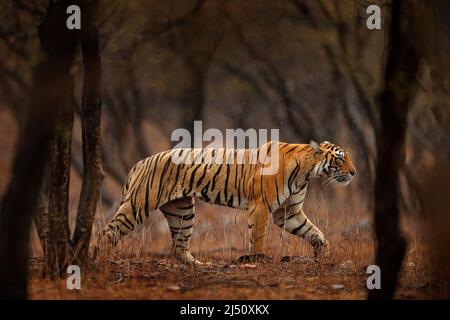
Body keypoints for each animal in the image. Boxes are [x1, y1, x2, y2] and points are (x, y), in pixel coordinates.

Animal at [103, 139, 356, 262]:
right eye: (340, 159)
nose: (354, 173)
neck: (307, 173)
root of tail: (140, 162)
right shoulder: (261, 207)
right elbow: (258, 238)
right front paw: (257, 261)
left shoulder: (288, 212)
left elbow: (315, 232)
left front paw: (323, 254)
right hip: (138, 205)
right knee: (108, 232)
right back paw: (98, 261)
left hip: (182, 212)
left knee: (178, 248)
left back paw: (200, 266)